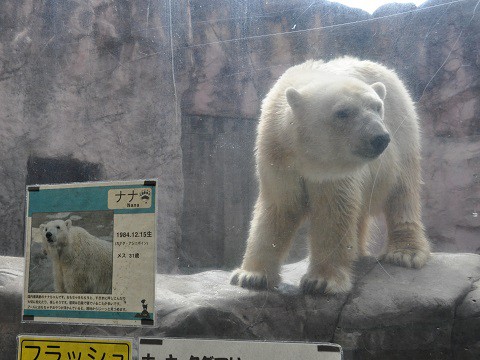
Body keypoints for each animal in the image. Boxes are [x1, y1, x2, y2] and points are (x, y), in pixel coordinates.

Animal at [230, 55, 432, 292]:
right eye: (342, 112)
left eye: (377, 107)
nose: (380, 137)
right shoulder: (277, 153)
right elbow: (280, 207)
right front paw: (250, 276)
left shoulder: (335, 170)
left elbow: (334, 210)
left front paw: (321, 280)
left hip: (403, 136)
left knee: (402, 194)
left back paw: (405, 252)